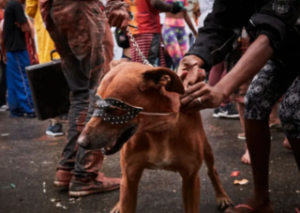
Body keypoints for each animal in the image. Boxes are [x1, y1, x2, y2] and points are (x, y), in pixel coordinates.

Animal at [77, 62, 232, 213]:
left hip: (207, 149)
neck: (158, 132)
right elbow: (126, 192)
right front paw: (120, 205)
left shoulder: (191, 179)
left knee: (212, 171)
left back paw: (222, 196)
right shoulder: (130, 177)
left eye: (113, 109)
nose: (81, 142)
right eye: (95, 105)